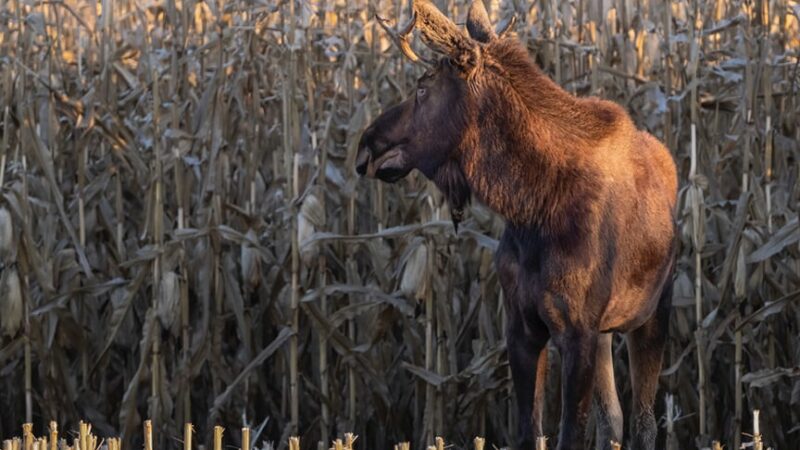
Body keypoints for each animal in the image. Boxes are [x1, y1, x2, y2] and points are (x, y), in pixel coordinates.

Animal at [356, 1, 676, 448]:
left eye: (423, 87)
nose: (366, 145)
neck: (530, 210)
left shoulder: (578, 331)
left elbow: (570, 434)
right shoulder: (522, 326)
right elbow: (530, 433)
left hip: (653, 313)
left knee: (644, 423)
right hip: (607, 333)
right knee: (613, 419)